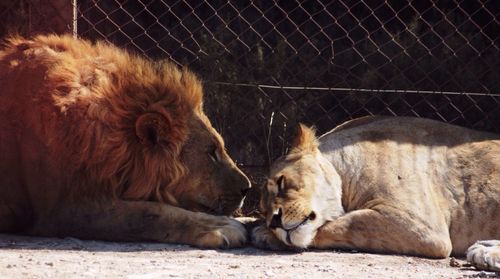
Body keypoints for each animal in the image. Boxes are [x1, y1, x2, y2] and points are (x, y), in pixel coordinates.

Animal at [252, 116, 500, 272]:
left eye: (282, 182)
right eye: (263, 210)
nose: (274, 221)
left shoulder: (423, 228)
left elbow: (344, 224)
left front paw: (263, 234)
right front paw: (265, 231)